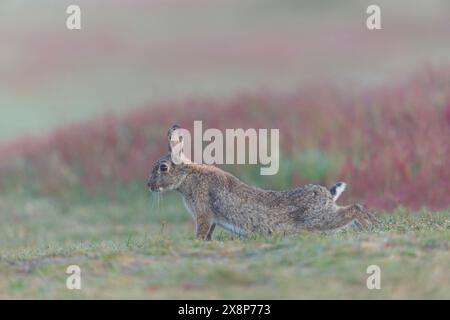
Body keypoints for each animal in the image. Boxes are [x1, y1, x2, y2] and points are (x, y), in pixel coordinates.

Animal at [149, 125, 380, 240]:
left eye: (163, 168)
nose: (149, 186)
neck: (188, 174)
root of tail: (328, 194)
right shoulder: (211, 218)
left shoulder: (203, 212)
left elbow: (202, 229)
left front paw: (196, 242)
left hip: (319, 219)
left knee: (354, 208)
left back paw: (372, 227)